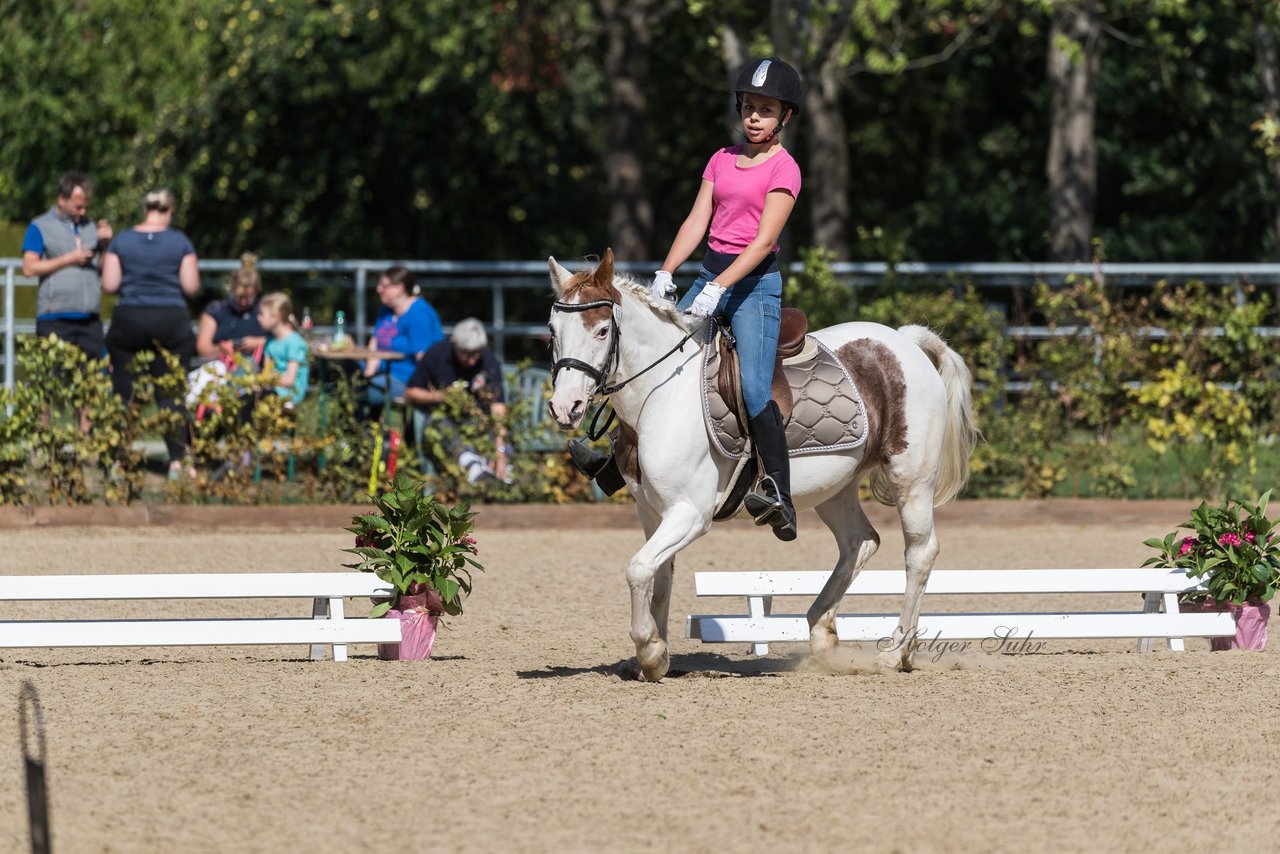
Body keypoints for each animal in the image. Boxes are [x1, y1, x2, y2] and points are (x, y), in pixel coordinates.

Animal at [545, 247, 972, 681]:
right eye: (552, 330)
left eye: (602, 331)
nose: (565, 407)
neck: (661, 394)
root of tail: (904, 341)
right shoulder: (652, 512)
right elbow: (657, 577)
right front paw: (656, 656)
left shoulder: (691, 513)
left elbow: (637, 568)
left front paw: (649, 649)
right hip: (836, 488)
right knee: (860, 542)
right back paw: (822, 635)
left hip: (911, 481)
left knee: (919, 553)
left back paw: (896, 652)